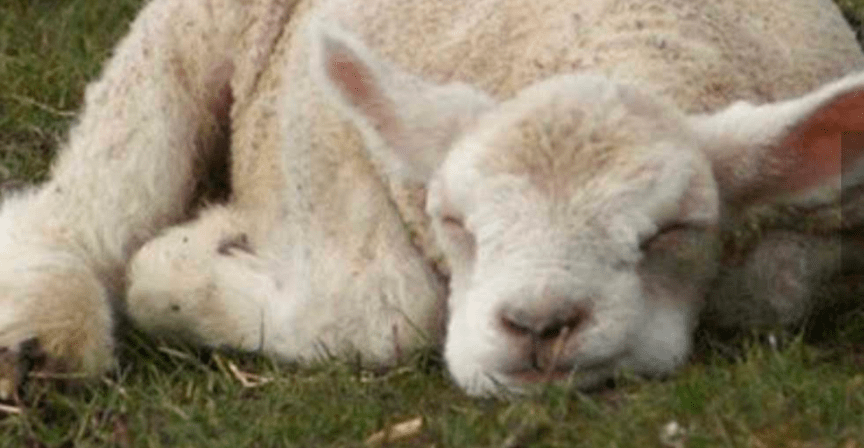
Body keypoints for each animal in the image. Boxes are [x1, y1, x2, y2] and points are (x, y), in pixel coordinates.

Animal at [0, 0, 863, 397]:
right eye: (455, 220)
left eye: (675, 231)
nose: (538, 325)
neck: (611, 33)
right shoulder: (322, 135)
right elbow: (380, 315)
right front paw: (181, 261)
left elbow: (777, 286)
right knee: (96, 189)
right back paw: (43, 336)